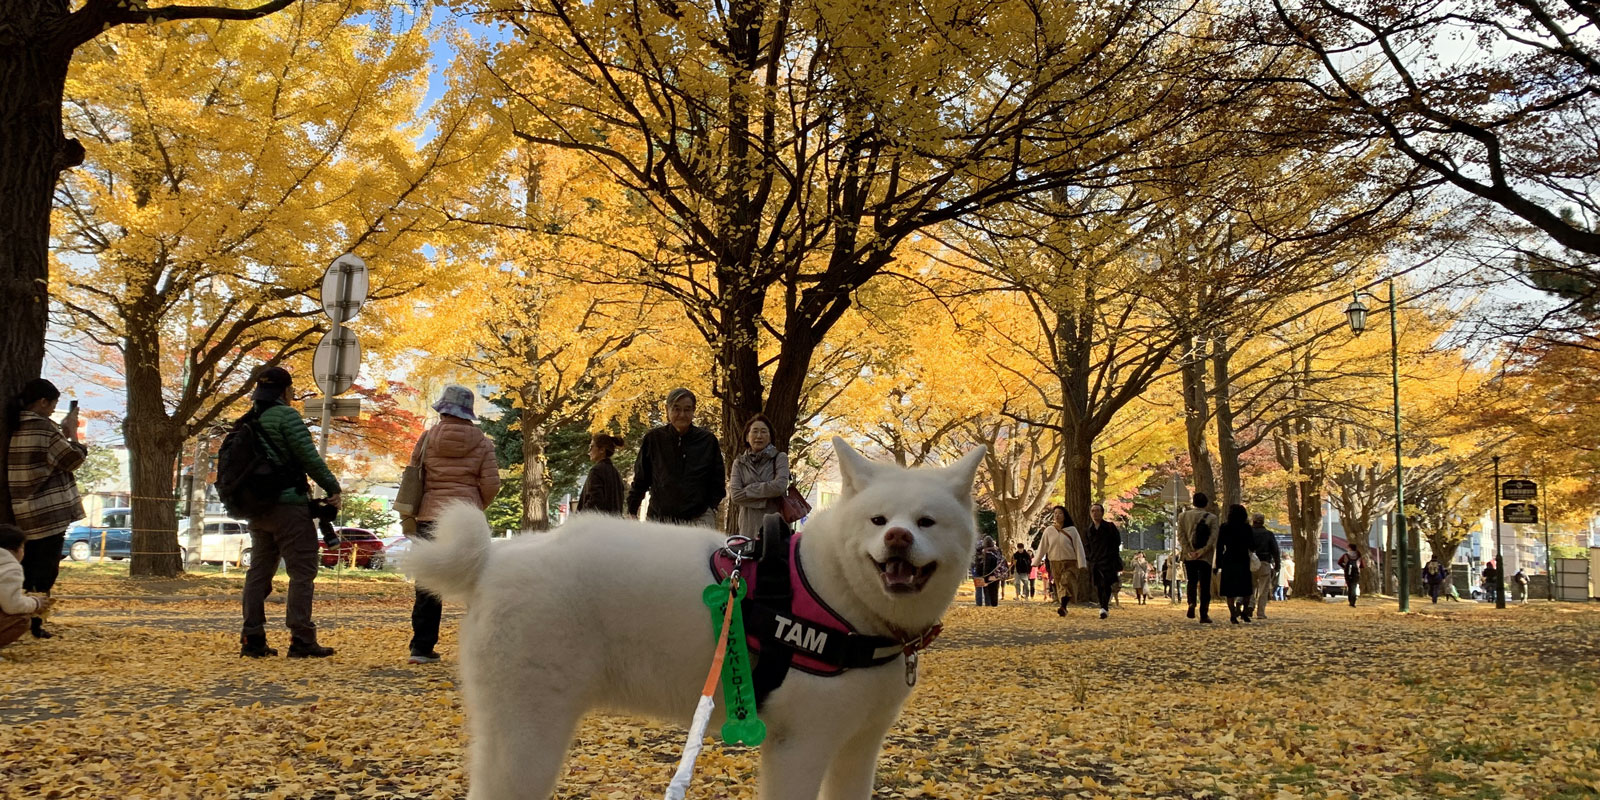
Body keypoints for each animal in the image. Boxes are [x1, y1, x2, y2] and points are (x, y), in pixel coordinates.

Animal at [406, 438, 979, 800]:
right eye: (878, 521)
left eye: (926, 522)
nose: (898, 538)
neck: (838, 592)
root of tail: (492, 558)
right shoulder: (800, 748)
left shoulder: (858, 749)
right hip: (528, 737)